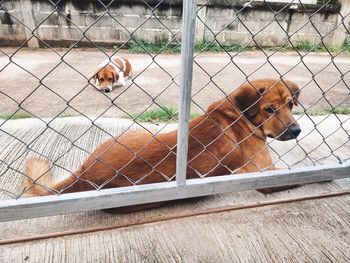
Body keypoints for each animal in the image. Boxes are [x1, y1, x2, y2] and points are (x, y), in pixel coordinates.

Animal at [22, 79, 300, 203]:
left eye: (290, 105)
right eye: (269, 110)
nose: (297, 130)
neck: (239, 114)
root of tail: (84, 171)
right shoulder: (264, 172)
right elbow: (290, 174)